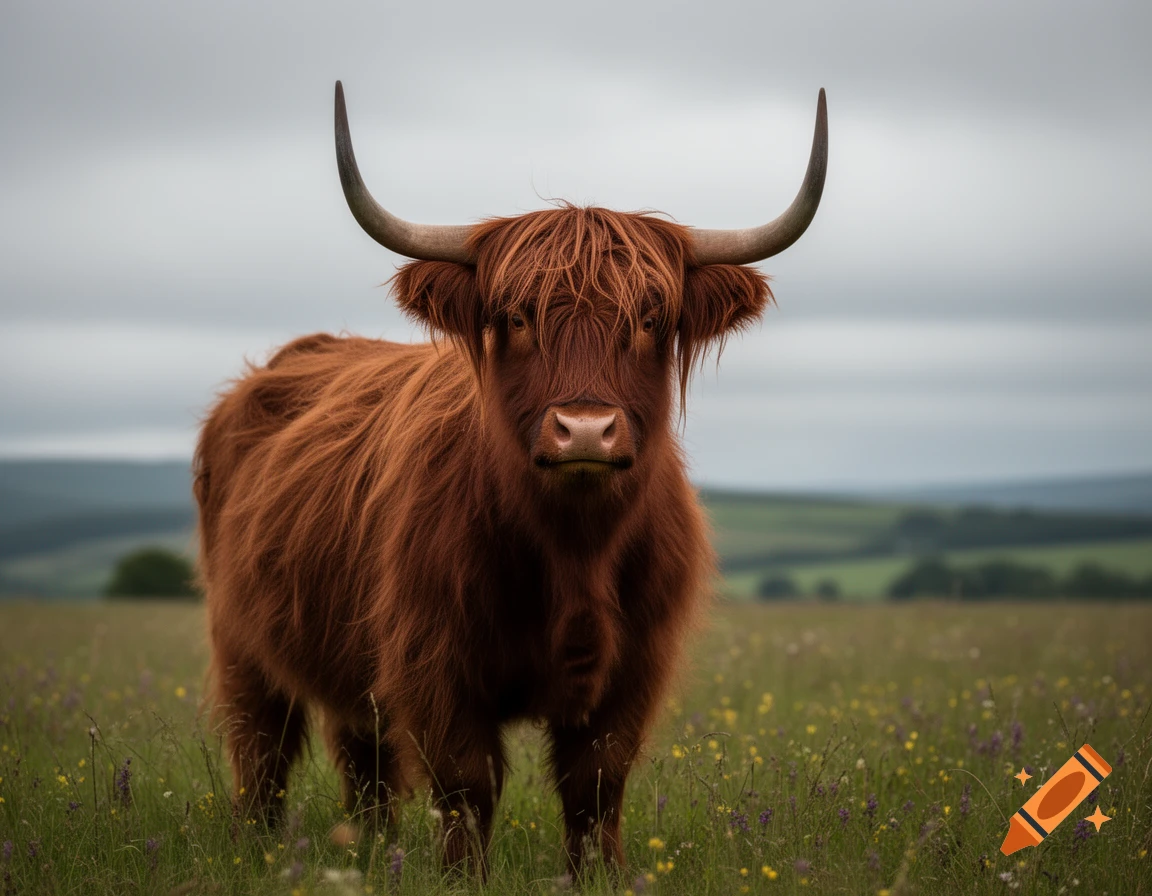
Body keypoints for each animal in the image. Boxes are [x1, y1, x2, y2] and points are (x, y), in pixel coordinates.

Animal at [193, 81, 827, 877]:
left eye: (651, 318)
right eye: (516, 317)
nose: (584, 430)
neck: (573, 550)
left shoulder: (633, 672)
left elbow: (596, 783)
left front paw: (599, 876)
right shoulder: (434, 663)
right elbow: (467, 785)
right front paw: (462, 878)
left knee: (362, 760)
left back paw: (371, 850)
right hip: (240, 640)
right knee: (263, 749)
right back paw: (261, 847)